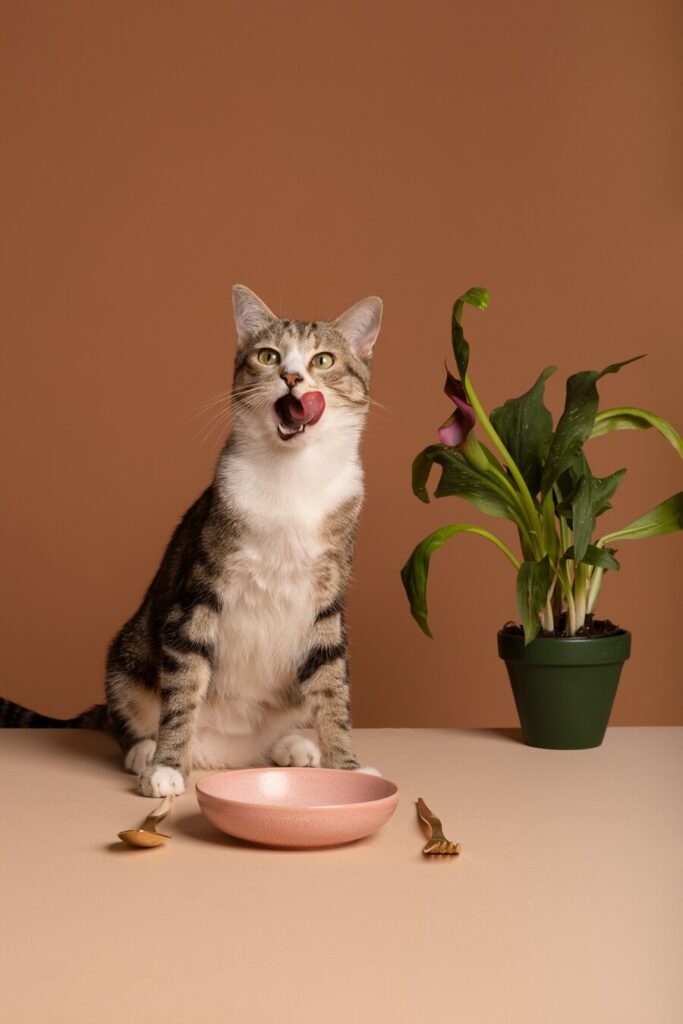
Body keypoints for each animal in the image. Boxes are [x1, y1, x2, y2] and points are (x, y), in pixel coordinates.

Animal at [0, 284, 382, 794]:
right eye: (268, 355)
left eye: (323, 360)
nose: (292, 377)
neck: (293, 478)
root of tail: (226, 754)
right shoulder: (199, 591)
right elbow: (183, 689)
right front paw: (167, 766)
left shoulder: (328, 605)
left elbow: (332, 688)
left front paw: (348, 768)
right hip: (126, 653)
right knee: (131, 712)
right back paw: (147, 751)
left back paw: (291, 746)